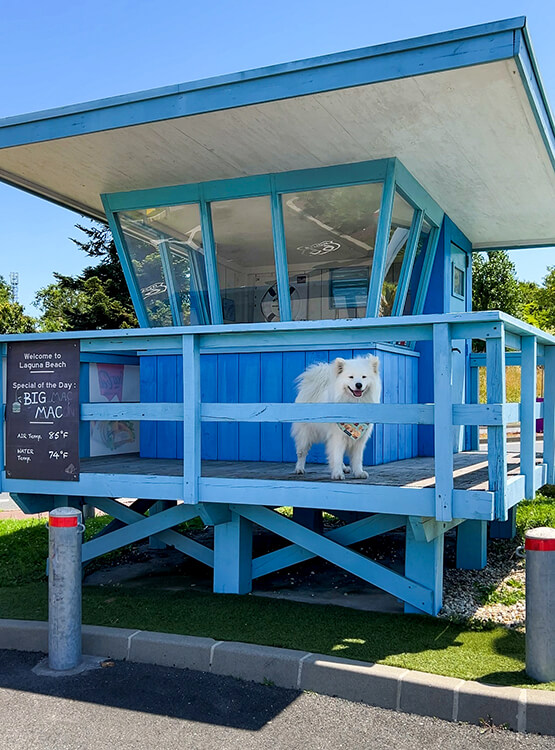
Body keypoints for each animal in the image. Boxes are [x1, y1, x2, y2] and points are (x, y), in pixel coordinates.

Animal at [294, 354, 380, 482]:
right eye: (351, 377)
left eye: (364, 377)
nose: (358, 385)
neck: (354, 404)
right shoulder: (338, 436)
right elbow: (337, 456)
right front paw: (337, 474)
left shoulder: (359, 439)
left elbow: (357, 458)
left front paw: (358, 473)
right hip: (305, 434)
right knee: (301, 452)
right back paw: (299, 469)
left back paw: (345, 468)